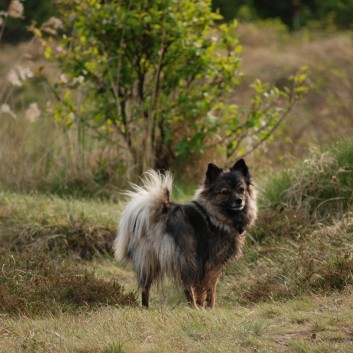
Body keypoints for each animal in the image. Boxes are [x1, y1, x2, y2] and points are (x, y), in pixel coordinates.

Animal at [114, 158, 258, 306]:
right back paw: (193, 307)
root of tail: (159, 216)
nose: (239, 200)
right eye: (225, 192)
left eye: (241, 189)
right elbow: (210, 289)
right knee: (186, 287)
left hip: (148, 261)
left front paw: (202, 305)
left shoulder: (202, 265)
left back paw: (146, 308)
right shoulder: (212, 263)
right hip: (187, 259)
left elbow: (200, 289)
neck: (216, 215)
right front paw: (209, 307)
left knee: (145, 289)